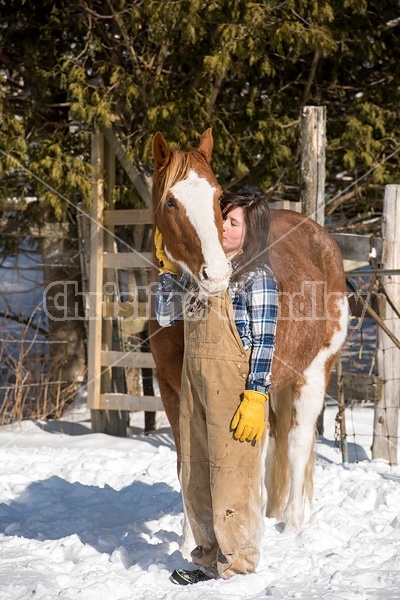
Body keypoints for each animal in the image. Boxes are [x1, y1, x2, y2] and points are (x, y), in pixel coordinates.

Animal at [148, 127, 348, 528]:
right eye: (172, 202)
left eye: (217, 196)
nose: (216, 274)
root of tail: (320, 237)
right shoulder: (171, 388)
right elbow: (186, 468)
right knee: (272, 443)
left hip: (314, 372)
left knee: (298, 443)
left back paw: (292, 526)